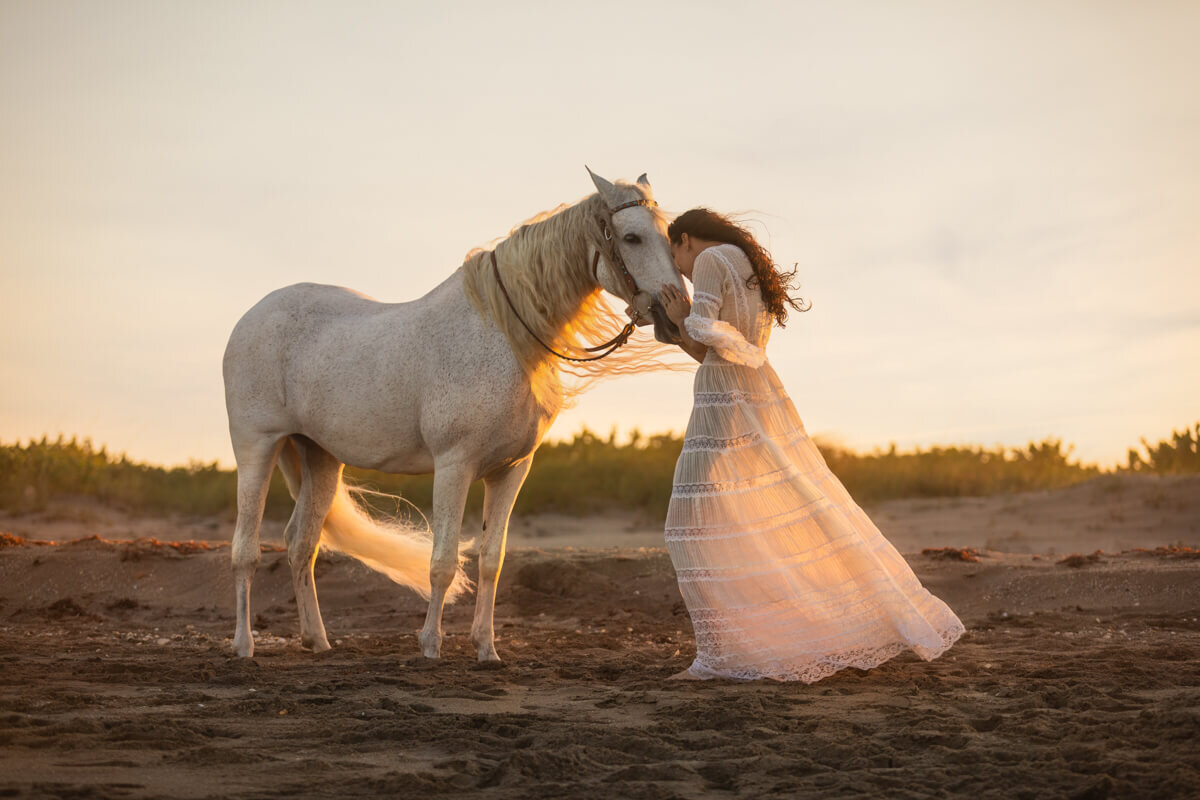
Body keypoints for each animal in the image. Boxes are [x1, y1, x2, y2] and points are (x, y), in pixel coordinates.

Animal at [220, 170, 681, 662]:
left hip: (320, 457)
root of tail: (251, 317)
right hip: (257, 448)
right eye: (631, 237)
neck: (505, 335)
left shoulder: (511, 471)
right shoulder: (454, 466)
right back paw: (244, 645)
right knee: (246, 549)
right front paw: (430, 645)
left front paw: (487, 649)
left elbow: (491, 559)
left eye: (669, 234)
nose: (677, 312)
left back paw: (319, 641)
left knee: (302, 544)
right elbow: (442, 562)